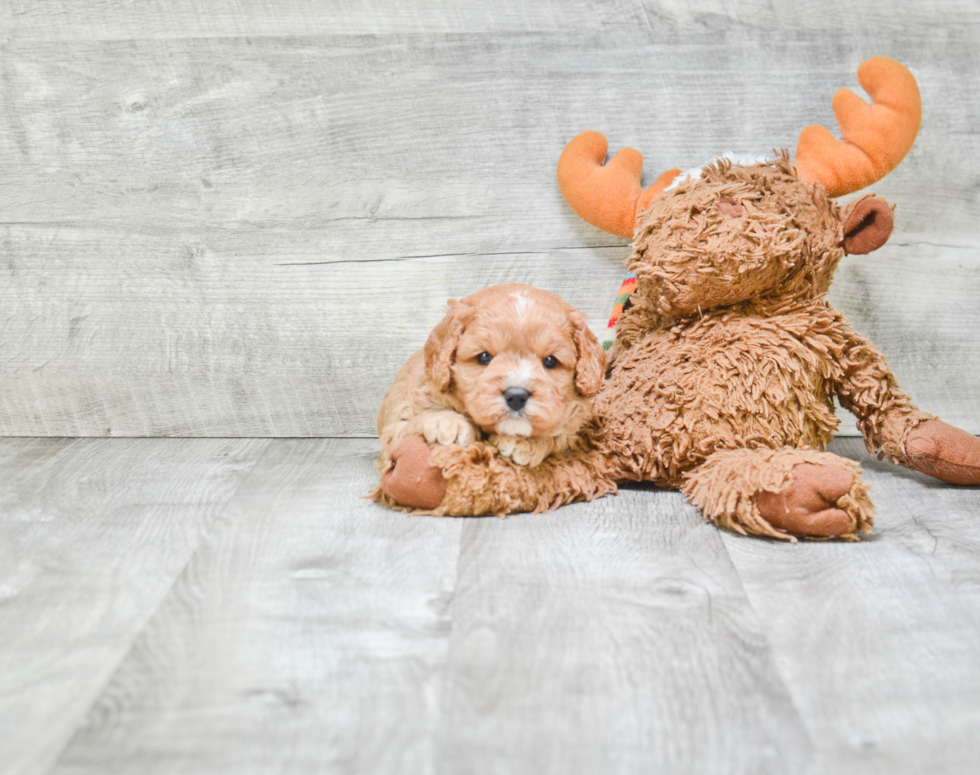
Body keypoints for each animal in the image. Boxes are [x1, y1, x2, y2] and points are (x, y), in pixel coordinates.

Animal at [378, 282, 600, 476]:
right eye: (484, 357)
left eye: (551, 361)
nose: (516, 396)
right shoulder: (397, 423)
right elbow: (413, 421)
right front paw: (447, 421)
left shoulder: (573, 426)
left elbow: (559, 434)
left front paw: (526, 442)